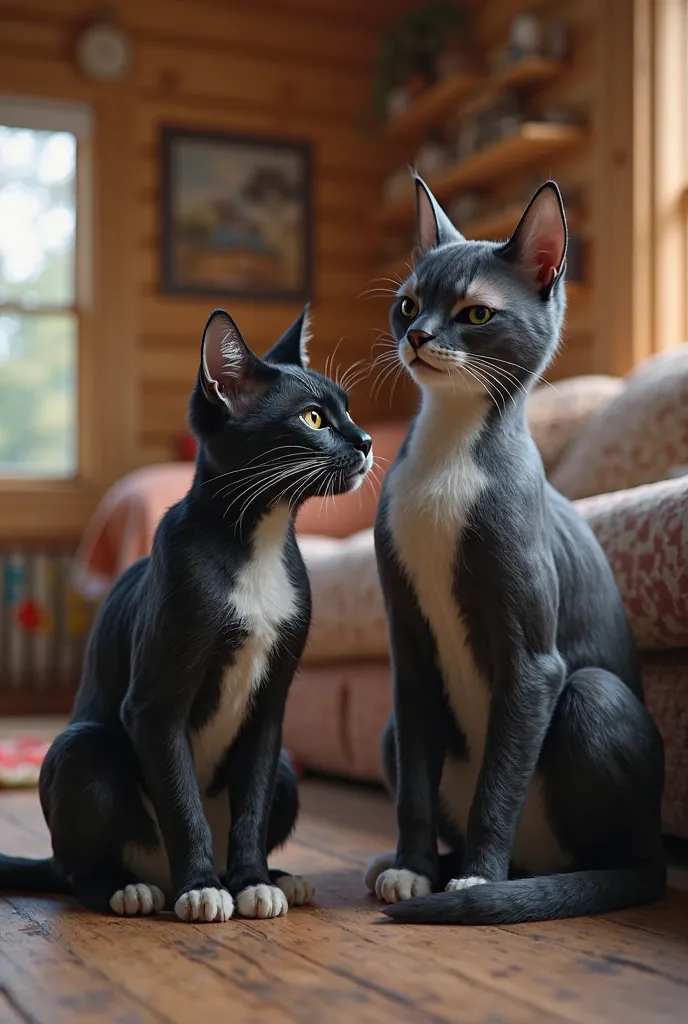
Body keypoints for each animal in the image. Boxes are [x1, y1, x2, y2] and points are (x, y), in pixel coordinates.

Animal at [0, 307, 372, 925]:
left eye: (348, 409)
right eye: (313, 418)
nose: (366, 440)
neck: (257, 544)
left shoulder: (271, 708)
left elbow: (252, 802)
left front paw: (252, 881)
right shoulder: (154, 704)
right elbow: (179, 800)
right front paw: (200, 888)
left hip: (288, 772)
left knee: (272, 785)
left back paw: (276, 876)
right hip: (82, 751)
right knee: (77, 862)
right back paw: (128, 888)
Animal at [364, 178, 667, 929]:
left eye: (475, 312)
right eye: (408, 302)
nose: (419, 335)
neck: (447, 465)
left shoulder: (533, 660)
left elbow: (500, 779)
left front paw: (476, 878)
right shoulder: (409, 647)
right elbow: (415, 782)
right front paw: (413, 868)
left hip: (591, 696)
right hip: (387, 727)